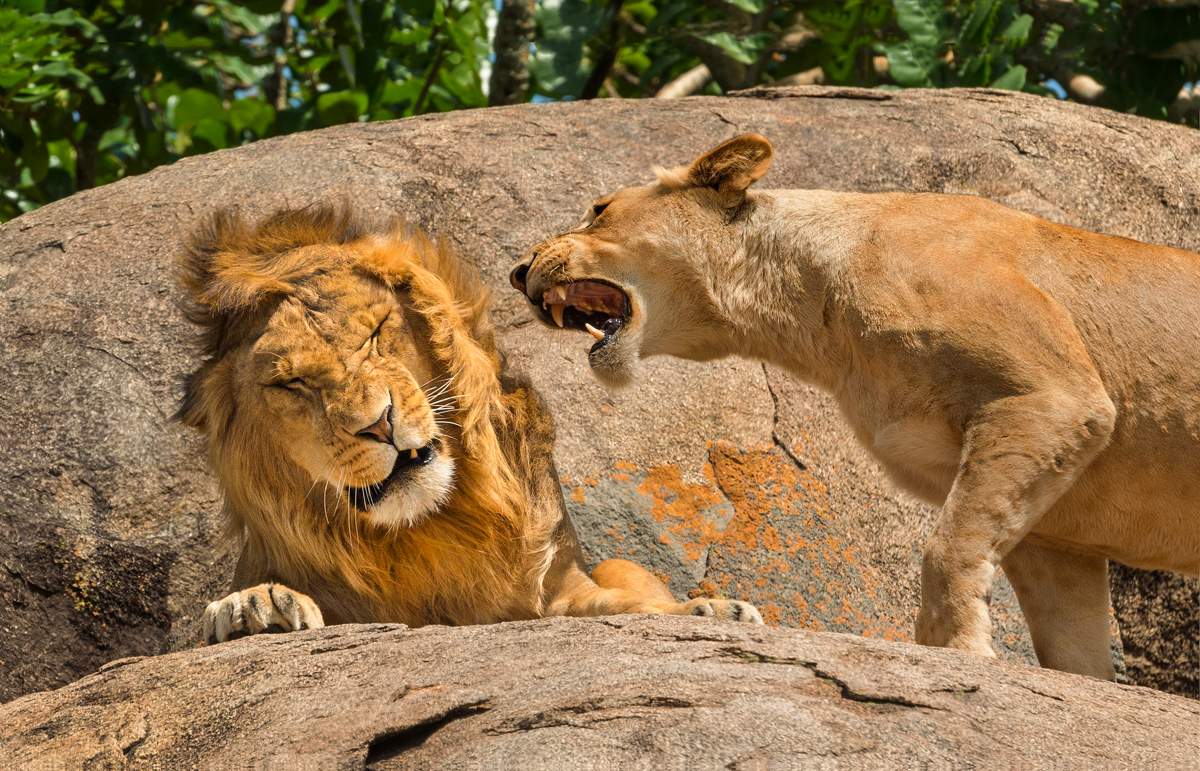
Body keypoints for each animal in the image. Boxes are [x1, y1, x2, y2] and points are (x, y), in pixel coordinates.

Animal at [177, 202, 762, 643]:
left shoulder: (557, 587)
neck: (431, 528)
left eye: (375, 332)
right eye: (290, 384)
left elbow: (617, 606)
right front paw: (254, 607)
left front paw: (708, 611)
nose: (379, 424)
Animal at [509, 134, 1200, 680]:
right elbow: (1071, 645)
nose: (518, 271)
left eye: (599, 210)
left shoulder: (1052, 398)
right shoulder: (1057, 529)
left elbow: (948, 547)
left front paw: (955, 653)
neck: (813, 314)